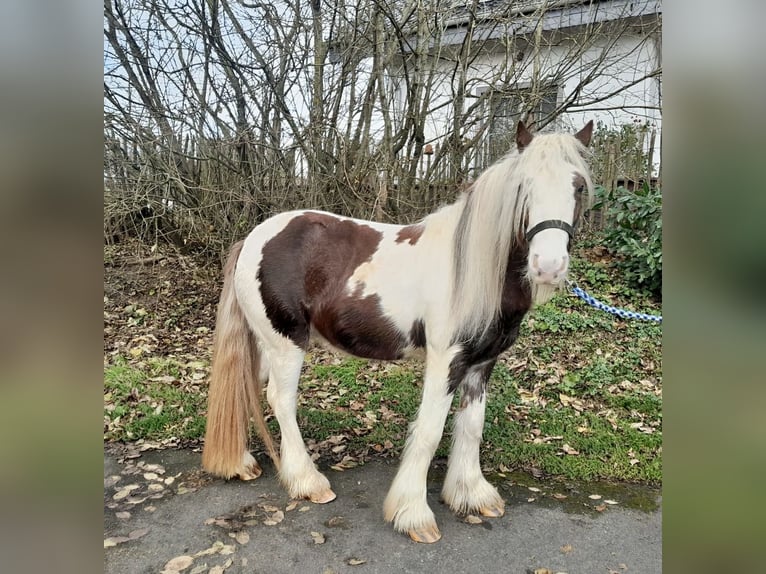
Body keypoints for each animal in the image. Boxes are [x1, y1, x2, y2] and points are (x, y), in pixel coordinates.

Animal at [201, 120, 596, 544]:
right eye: (523, 186)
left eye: (578, 186)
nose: (548, 267)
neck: (472, 269)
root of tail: (252, 239)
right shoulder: (446, 361)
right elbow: (430, 431)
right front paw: (413, 514)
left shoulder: (481, 362)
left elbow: (472, 426)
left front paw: (472, 494)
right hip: (286, 344)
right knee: (281, 400)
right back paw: (308, 481)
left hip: (265, 344)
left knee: (247, 386)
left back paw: (241, 463)